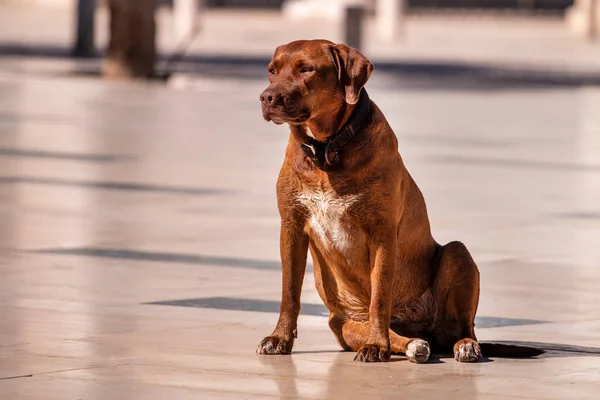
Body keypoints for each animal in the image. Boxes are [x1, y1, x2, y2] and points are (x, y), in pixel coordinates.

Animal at [255, 40, 540, 362]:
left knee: (463, 326)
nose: (267, 97)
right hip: (345, 324)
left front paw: (376, 345)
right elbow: (289, 291)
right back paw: (412, 344)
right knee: (397, 335)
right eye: (272, 70)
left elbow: (379, 296)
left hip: (457, 256)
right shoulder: (291, 226)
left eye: (307, 69)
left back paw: (463, 345)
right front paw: (280, 338)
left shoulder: (382, 233)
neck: (327, 151)